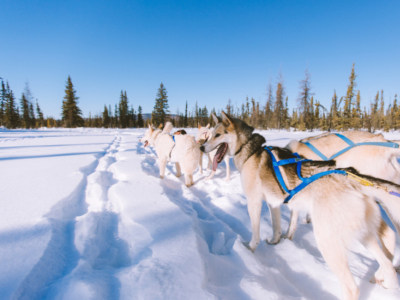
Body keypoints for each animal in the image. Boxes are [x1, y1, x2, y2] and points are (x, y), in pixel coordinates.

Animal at [202, 112, 398, 300]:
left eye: (217, 135)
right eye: (210, 134)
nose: (201, 147)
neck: (250, 151)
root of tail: (352, 179)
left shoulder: (254, 201)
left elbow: (255, 234)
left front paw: (249, 249)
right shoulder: (274, 203)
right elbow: (276, 227)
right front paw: (275, 242)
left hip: (328, 242)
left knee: (352, 287)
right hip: (364, 234)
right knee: (387, 257)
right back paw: (384, 278)